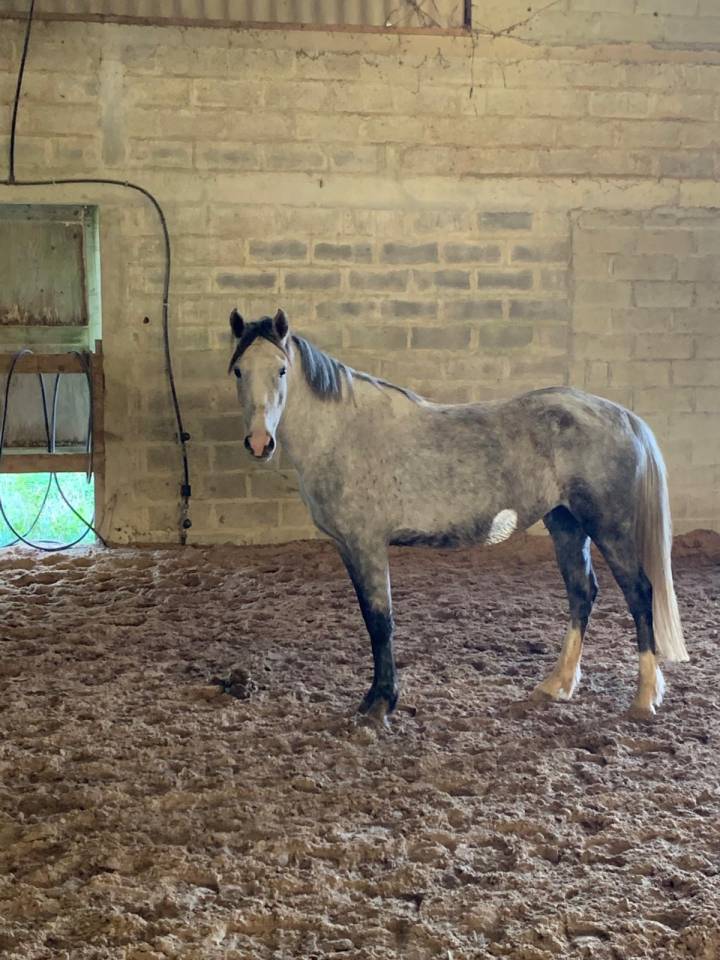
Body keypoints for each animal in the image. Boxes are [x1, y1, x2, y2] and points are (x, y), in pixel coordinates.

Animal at [227, 307, 688, 723]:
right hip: (566, 524)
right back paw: (556, 685)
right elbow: (371, 620)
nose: (259, 442)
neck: (344, 433)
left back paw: (644, 697)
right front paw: (373, 700)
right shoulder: (347, 548)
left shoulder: (367, 545)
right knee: (582, 592)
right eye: (238, 371)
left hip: (609, 527)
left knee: (639, 594)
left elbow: (381, 622)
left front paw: (380, 705)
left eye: (281, 370)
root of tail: (622, 416)